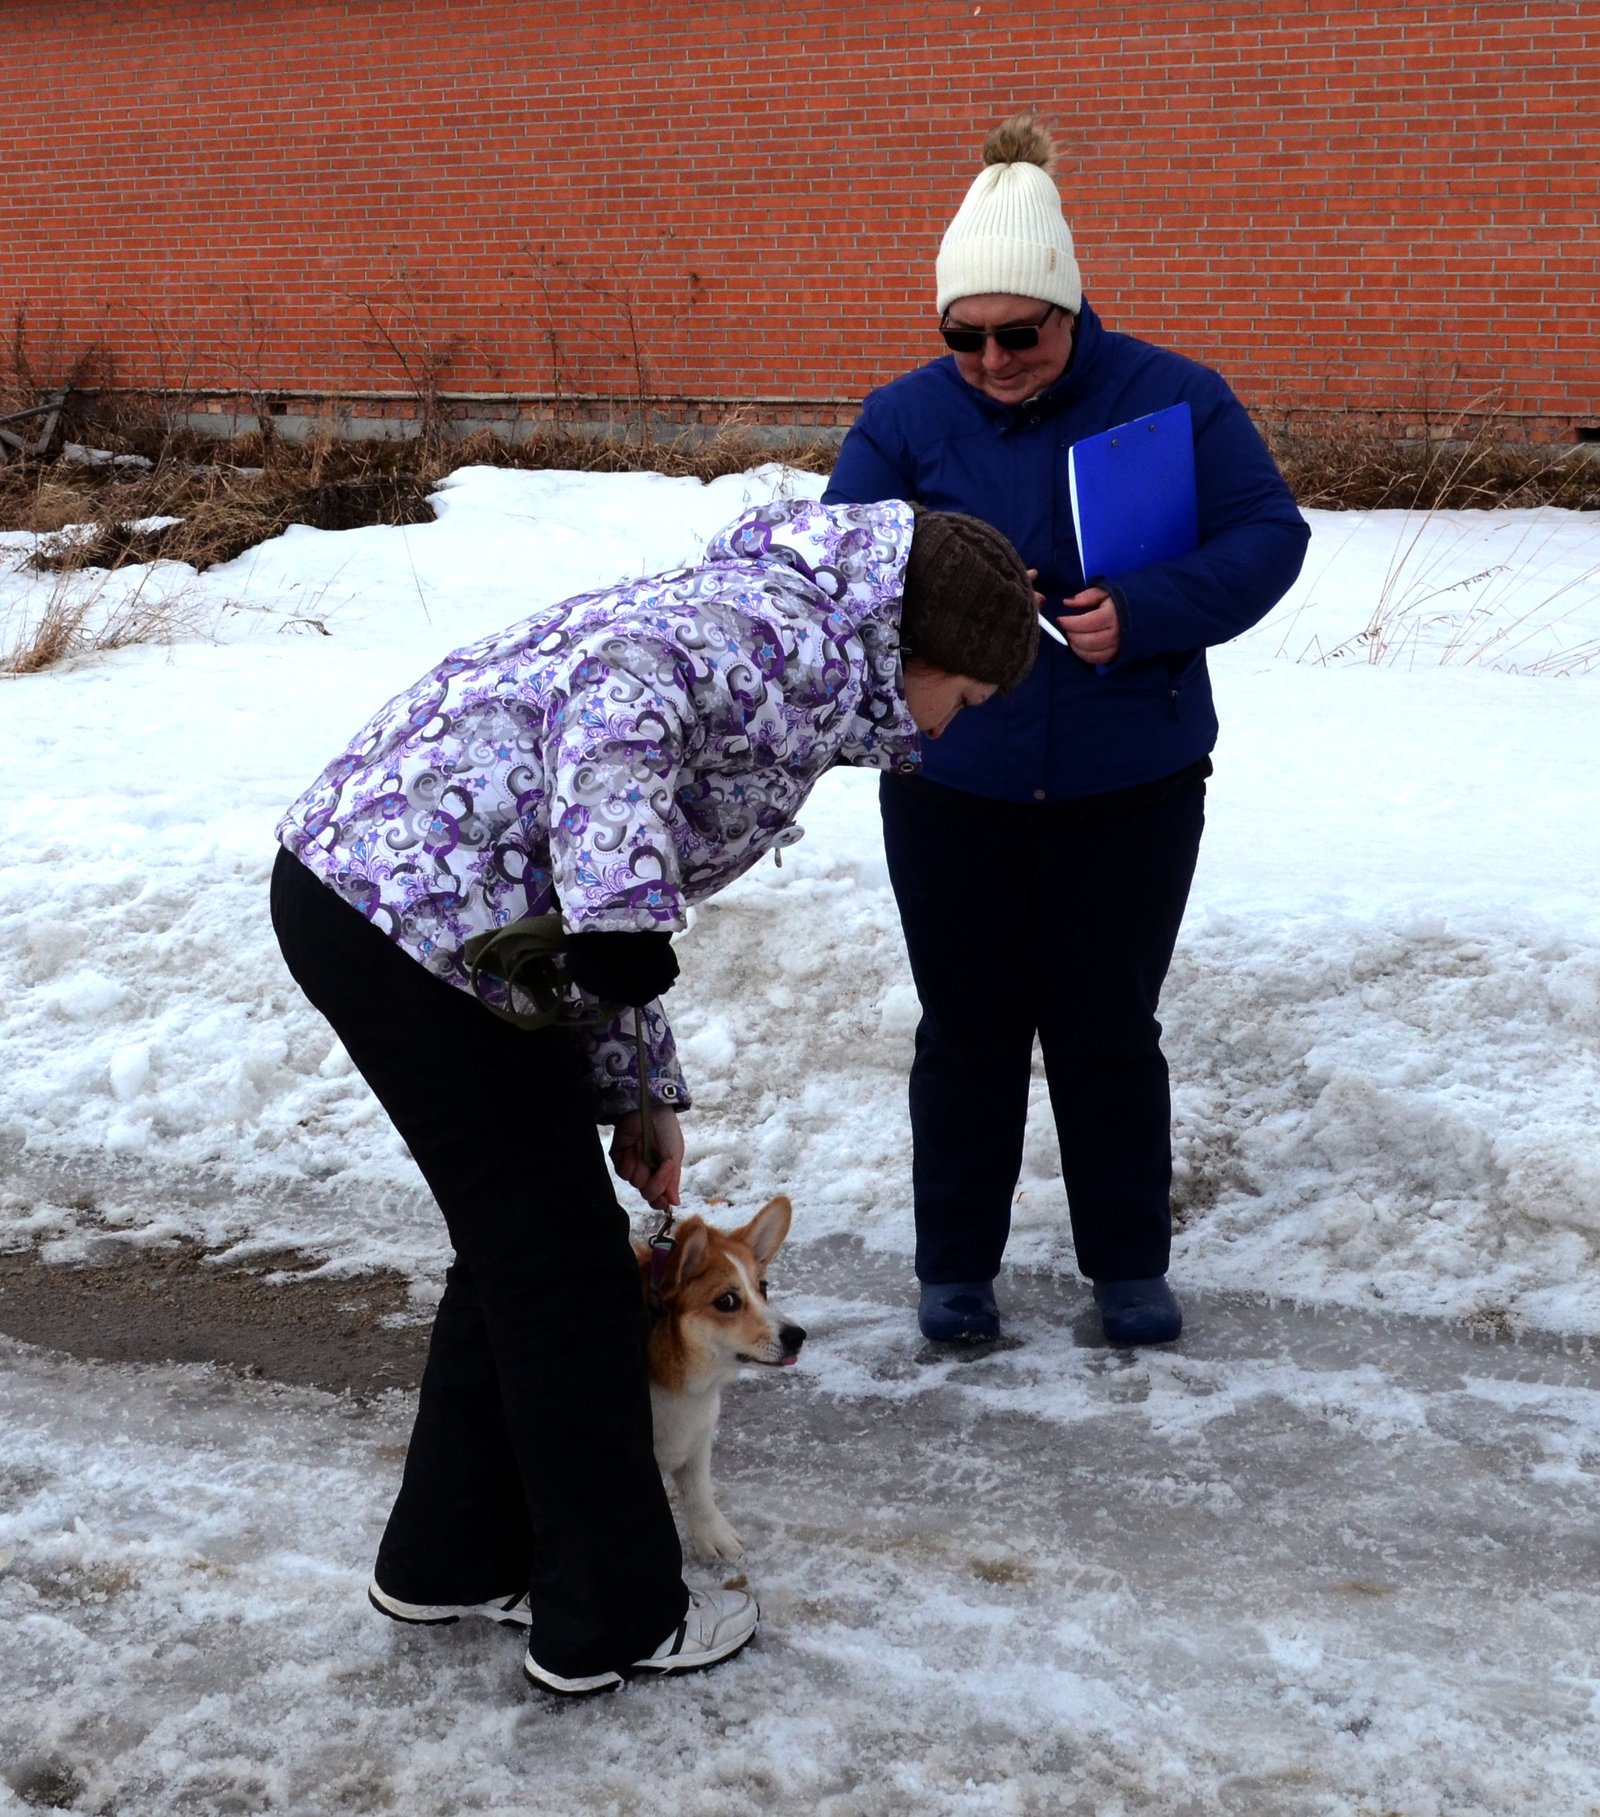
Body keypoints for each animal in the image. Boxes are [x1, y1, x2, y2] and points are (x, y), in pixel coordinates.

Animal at [635, 1191, 806, 1562]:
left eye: (763, 1288)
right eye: (726, 1301)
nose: (797, 1336)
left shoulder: (697, 1441)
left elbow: (700, 1493)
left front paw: (713, 1536)